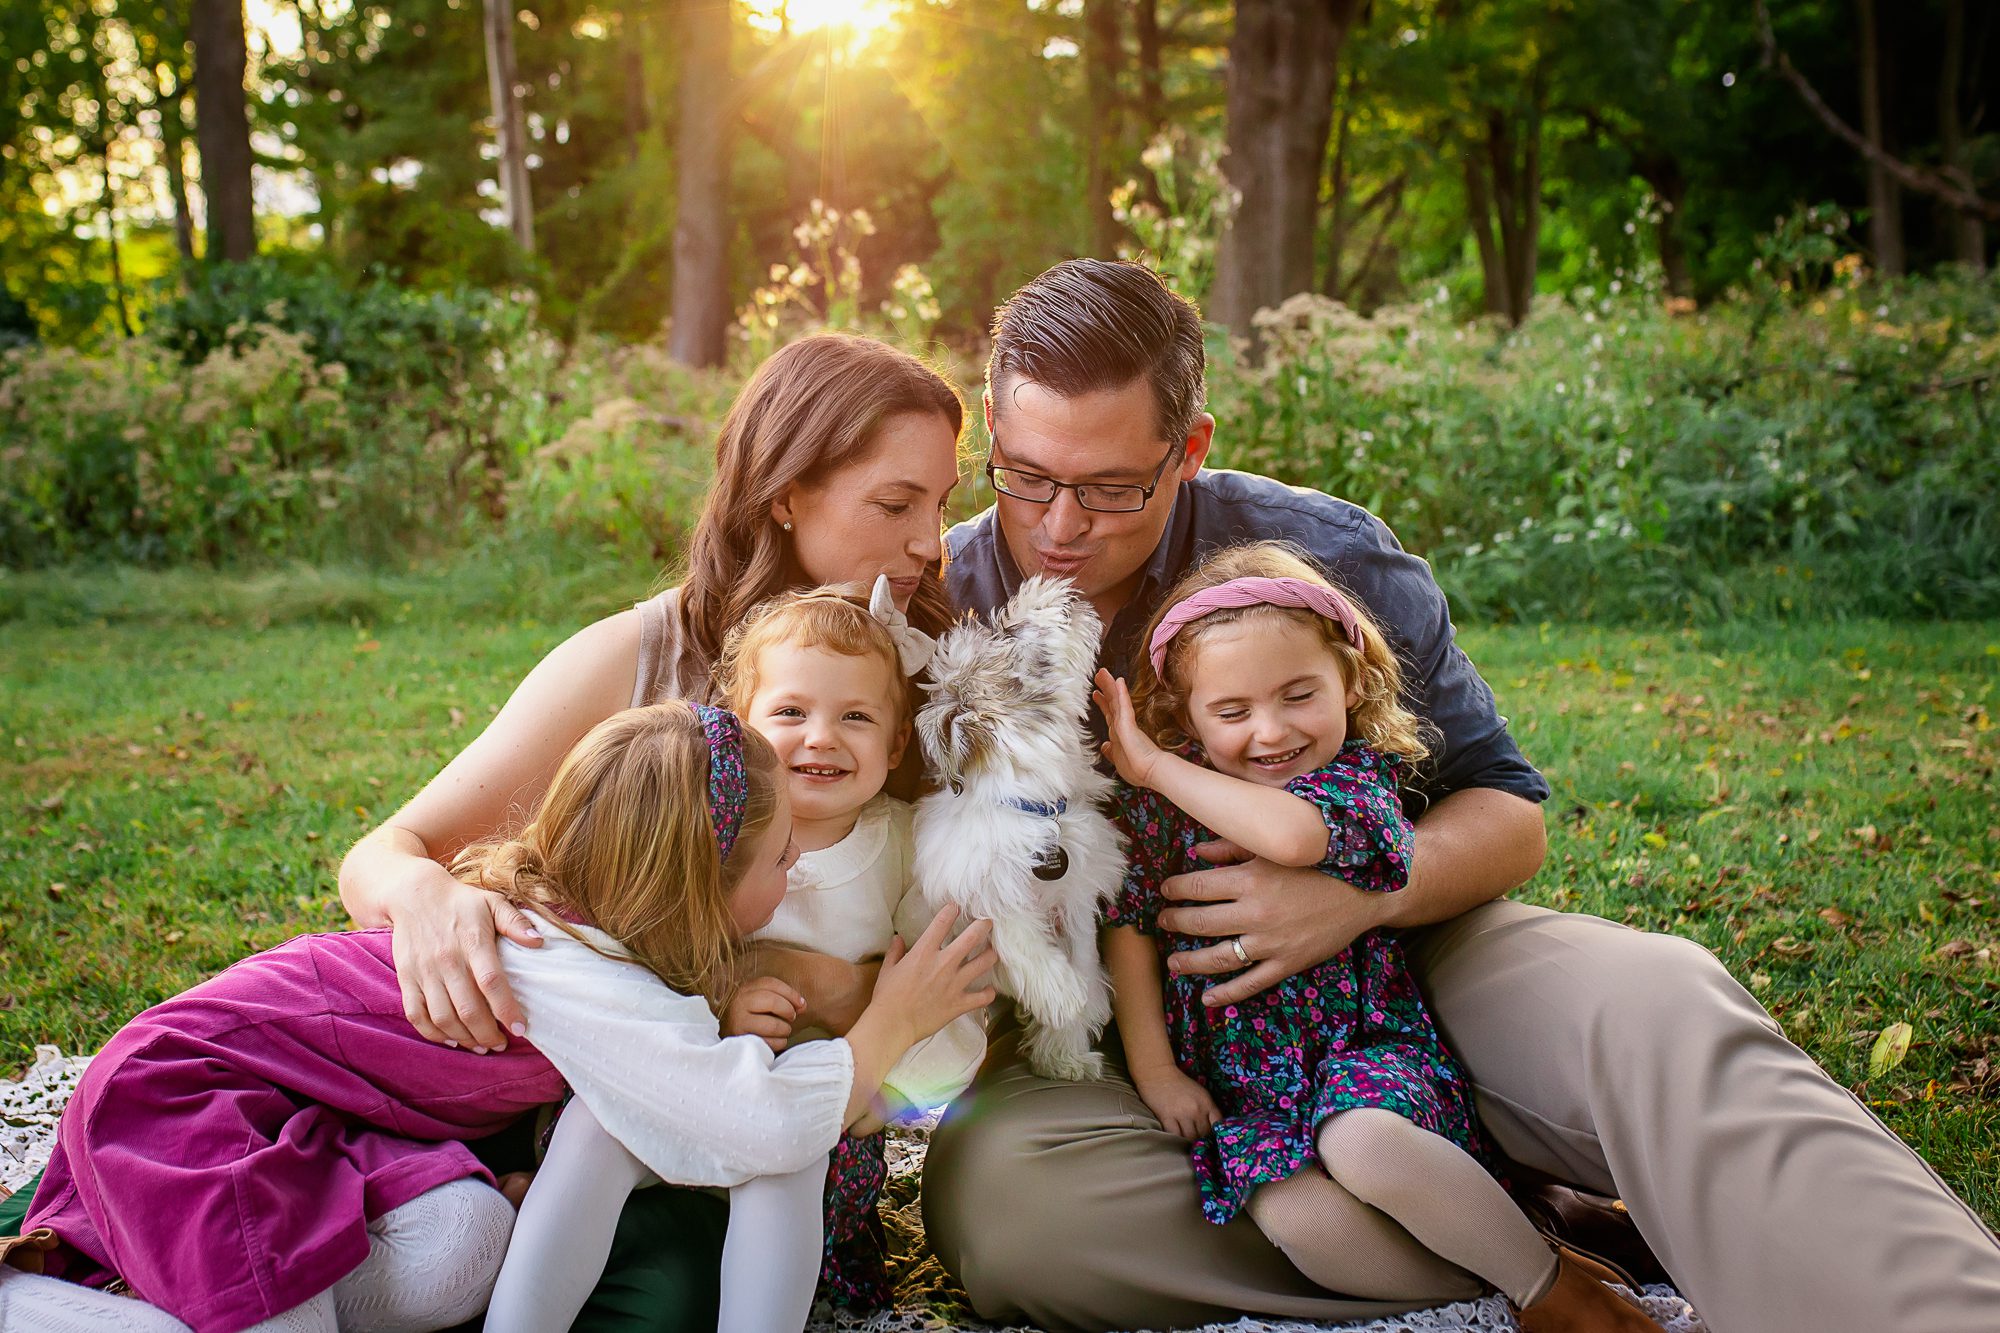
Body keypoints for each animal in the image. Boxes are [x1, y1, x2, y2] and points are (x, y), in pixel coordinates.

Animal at [912, 572, 1128, 1080]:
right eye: (1008, 635)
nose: (1057, 587)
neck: (1037, 808)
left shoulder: (1076, 895)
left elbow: (1083, 954)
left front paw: (1069, 1045)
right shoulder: (973, 883)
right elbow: (1014, 930)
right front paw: (1061, 994)